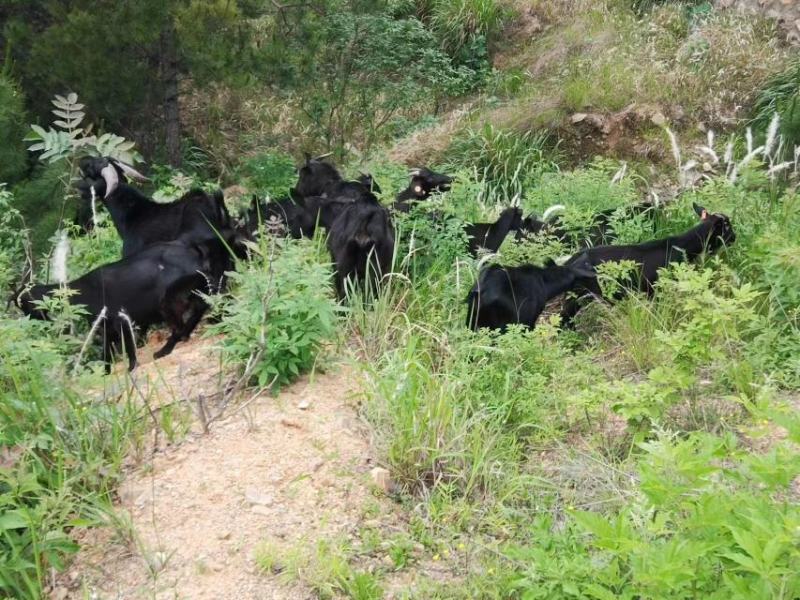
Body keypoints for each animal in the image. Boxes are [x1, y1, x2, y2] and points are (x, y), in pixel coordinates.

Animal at [15, 233, 241, 370]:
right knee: (209, 304)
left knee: (190, 316)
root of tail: (193, 248)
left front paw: (131, 368)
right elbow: (107, 353)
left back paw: (166, 349)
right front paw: (105, 374)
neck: (82, 291)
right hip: (197, 289)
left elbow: (129, 349)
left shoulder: (120, 319)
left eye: (24, 305)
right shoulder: (107, 327)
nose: (30, 324)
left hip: (170, 299)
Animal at [560, 200, 736, 324]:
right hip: (579, 295)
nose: (735, 238)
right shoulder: (659, 288)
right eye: (727, 227)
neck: (683, 246)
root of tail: (569, 263)